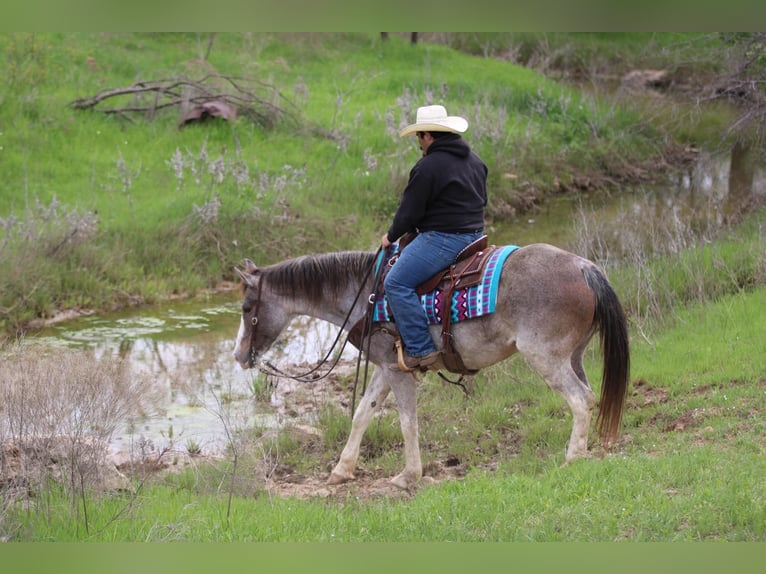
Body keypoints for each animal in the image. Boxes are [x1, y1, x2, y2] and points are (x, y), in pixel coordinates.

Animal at [234, 243, 632, 490]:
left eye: (246, 308)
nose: (239, 356)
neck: (367, 295)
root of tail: (584, 267)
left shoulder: (399, 372)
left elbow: (407, 423)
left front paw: (408, 476)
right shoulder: (385, 368)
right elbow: (363, 414)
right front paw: (341, 471)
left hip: (546, 358)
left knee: (579, 400)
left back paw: (573, 458)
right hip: (573, 356)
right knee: (590, 397)